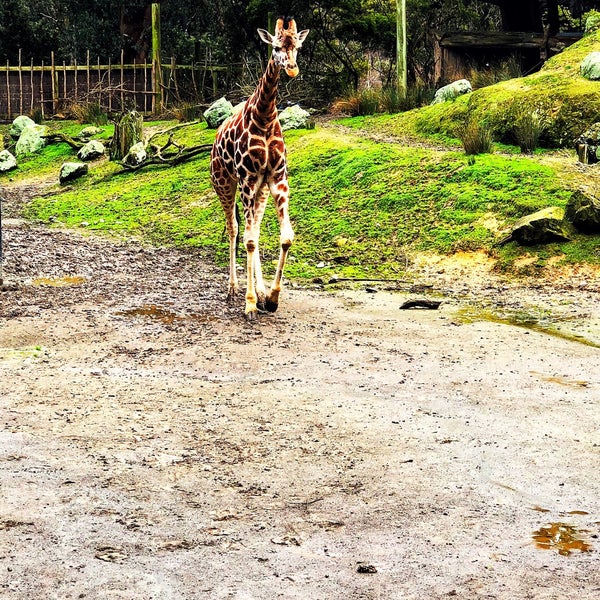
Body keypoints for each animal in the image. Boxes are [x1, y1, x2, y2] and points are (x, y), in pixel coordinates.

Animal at [210, 16, 310, 322]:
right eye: (276, 46)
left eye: (297, 46)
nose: (291, 68)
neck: (264, 117)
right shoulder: (246, 179)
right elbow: (249, 241)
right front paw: (250, 304)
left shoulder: (277, 179)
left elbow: (285, 237)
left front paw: (272, 298)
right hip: (225, 184)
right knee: (235, 230)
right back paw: (233, 289)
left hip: (260, 190)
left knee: (252, 227)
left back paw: (262, 292)